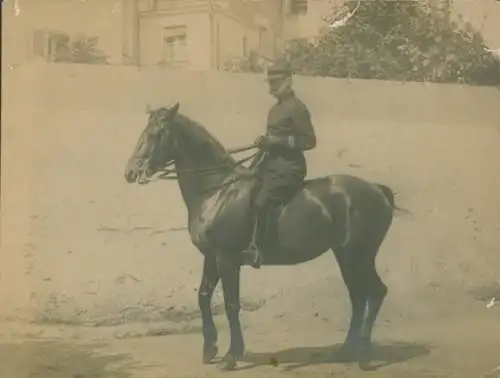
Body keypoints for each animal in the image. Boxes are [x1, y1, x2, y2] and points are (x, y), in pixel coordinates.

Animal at [124, 102, 402, 370]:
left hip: (359, 255)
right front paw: (210, 349)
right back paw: (346, 351)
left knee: (375, 292)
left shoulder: (227, 259)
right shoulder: (211, 257)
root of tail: (376, 190)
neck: (217, 190)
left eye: (156, 134)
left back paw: (364, 356)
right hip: (345, 256)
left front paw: (231, 356)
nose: (130, 171)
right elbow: (203, 297)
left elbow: (231, 304)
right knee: (358, 296)